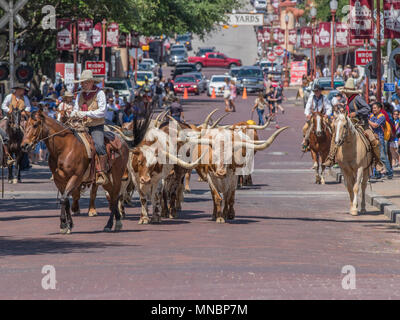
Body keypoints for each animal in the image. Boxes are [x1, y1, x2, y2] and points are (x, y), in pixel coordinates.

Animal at [21, 110, 151, 235]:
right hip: (106, 180)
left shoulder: (76, 177)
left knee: (115, 196)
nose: (24, 145)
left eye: (35, 124)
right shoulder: (59, 180)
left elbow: (64, 199)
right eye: (25, 125)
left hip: (117, 175)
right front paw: (69, 225)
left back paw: (112, 224)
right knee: (112, 195)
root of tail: (122, 140)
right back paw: (115, 221)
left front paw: (63, 225)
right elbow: (66, 200)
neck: (64, 149)